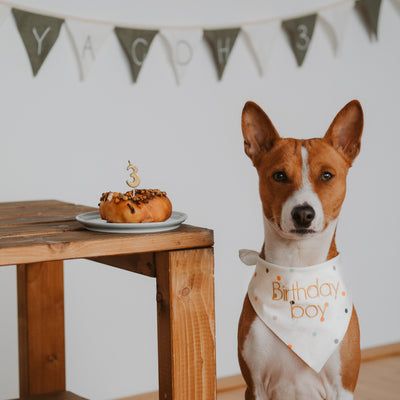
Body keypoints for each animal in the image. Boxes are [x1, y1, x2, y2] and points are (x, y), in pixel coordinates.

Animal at [239, 98, 364, 398]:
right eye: (279, 175)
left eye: (327, 175)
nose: (303, 213)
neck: (298, 269)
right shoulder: (255, 386)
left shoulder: (343, 388)